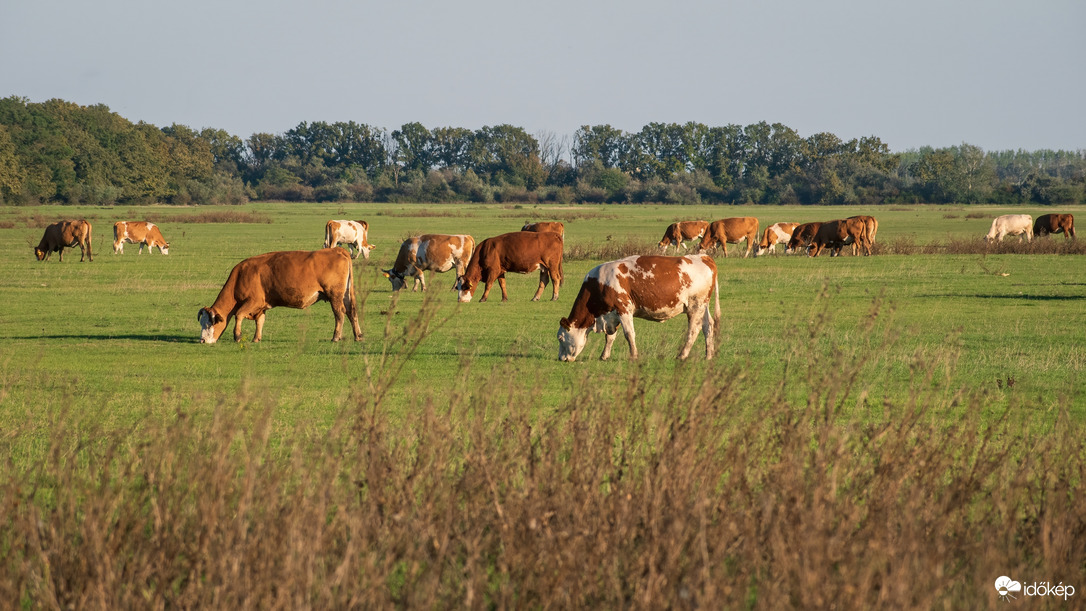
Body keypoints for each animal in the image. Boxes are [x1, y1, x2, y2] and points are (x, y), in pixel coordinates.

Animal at [197, 249, 362, 344]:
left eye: (209, 324)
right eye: (201, 323)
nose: (202, 340)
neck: (241, 276)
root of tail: (337, 249)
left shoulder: (253, 301)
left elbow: (238, 315)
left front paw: (237, 336)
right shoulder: (261, 306)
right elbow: (260, 321)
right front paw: (256, 338)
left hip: (335, 295)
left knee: (339, 314)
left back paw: (336, 337)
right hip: (346, 295)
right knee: (351, 312)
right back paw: (358, 335)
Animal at [557, 254, 719, 362]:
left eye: (560, 338)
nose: (560, 358)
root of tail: (703, 257)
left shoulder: (623, 309)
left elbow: (629, 334)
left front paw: (634, 356)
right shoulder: (612, 314)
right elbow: (610, 337)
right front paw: (604, 356)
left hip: (695, 305)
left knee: (694, 329)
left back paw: (682, 355)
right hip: (703, 306)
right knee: (708, 326)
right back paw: (709, 355)